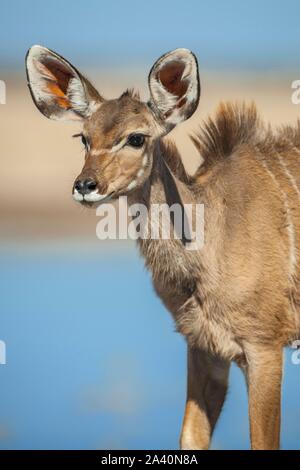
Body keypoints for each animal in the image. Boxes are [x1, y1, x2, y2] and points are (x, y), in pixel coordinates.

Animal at [26, 46, 300, 450]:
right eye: (83, 137)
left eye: (136, 138)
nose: (85, 185)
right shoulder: (203, 347)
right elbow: (191, 437)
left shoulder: (264, 346)